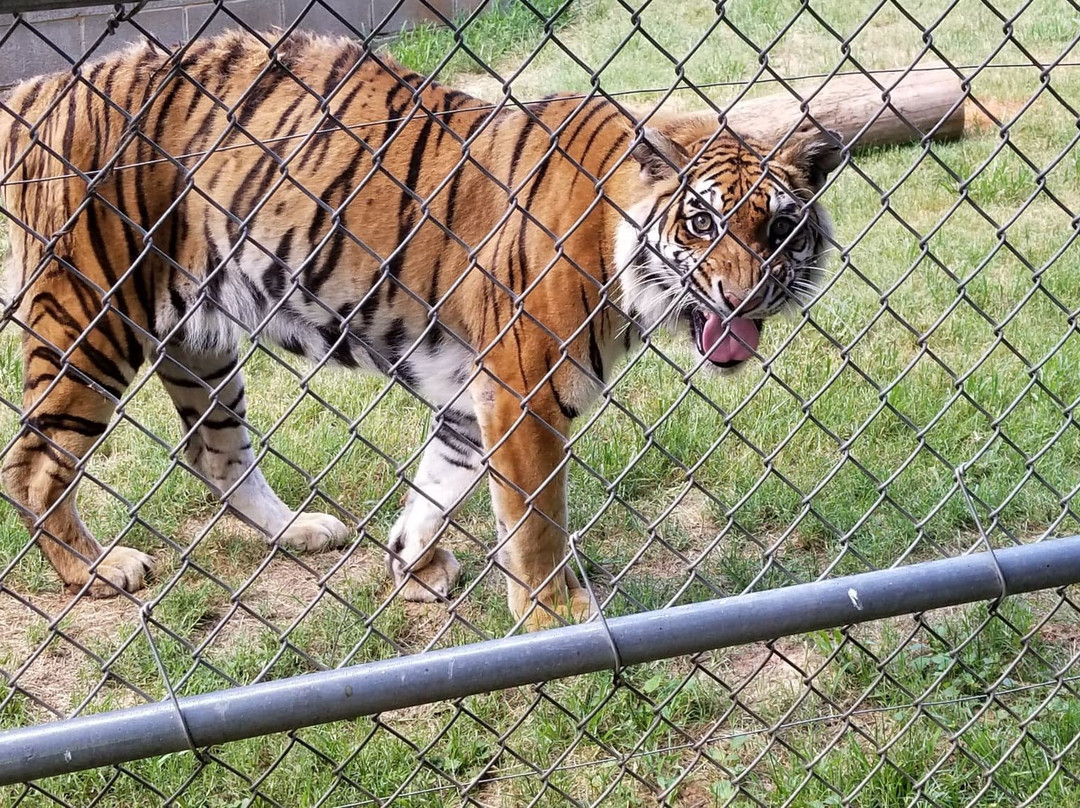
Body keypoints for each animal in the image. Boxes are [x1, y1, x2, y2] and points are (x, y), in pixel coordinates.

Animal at [0, 26, 838, 630]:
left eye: (777, 229)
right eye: (701, 224)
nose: (743, 297)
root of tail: (41, 85)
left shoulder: (476, 396)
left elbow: (438, 487)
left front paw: (412, 566)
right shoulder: (525, 390)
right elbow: (534, 520)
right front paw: (554, 614)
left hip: (200, 342)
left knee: (215, 453)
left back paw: (301, 531)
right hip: (92, 317)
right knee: (35, 463)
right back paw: (98, 571)